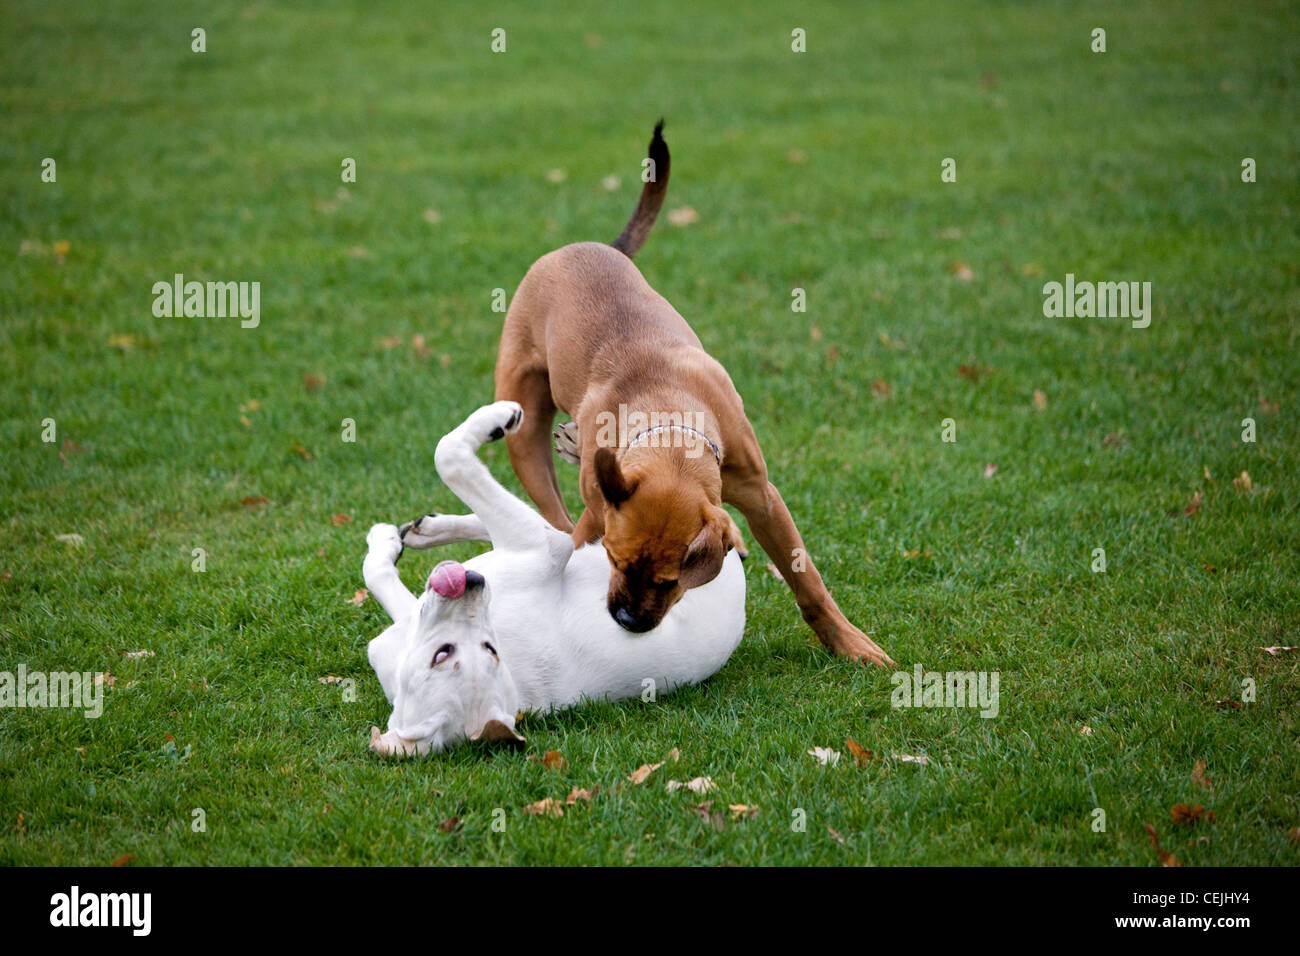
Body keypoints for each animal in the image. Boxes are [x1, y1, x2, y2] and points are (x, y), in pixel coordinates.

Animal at [361, 403, 748, 754]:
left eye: (489, 648)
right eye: (442, 654)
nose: (472, 584)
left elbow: (447, 457)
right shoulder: (543, 547)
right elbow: (449, 457)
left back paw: (428, 527)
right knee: (559, 524)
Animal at [493, 123, 894, 665]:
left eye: (670, 581)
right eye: (614, 560)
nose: (627, 621)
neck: (664, 411)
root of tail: (588, 246)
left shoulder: (764, 500)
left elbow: (806, 580)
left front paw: (849, 642)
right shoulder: (597, 516)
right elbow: (575, 538)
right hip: (523, 432)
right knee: (555, 514)